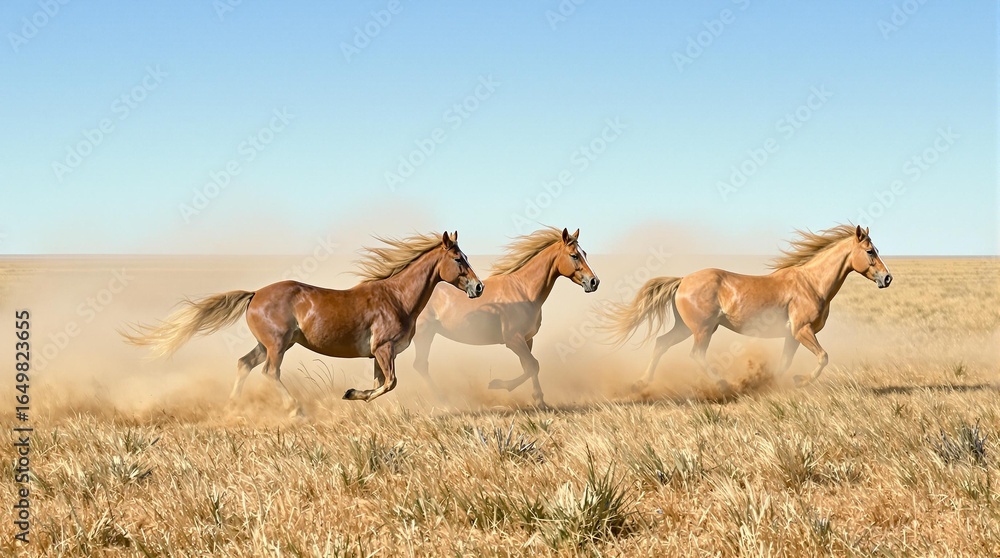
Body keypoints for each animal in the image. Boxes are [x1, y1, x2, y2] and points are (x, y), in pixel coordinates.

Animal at [121, 232, 484, 415]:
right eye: (458, 259)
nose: (478, 287)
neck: (396, 297)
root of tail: (255, 294)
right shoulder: (383, 349)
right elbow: (390, 383)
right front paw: (352, 394)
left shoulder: (380, 354)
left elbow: (381, 383)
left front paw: (356, 396)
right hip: (278, 345)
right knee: (269, 372)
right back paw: (294, 407)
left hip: (265, 344)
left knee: (244, 364)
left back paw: (233, 406)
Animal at [412, 227, 599, 407]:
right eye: (574, 255)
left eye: (585, 253)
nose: (594, 282)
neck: (524, 291)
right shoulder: (513, 339)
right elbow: (533, 365)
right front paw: (497, 384)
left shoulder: (527, 339)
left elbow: (529, 367)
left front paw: (539, 400)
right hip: (424, 335)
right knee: (420, 365)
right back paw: (442, 400)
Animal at [602, 225, 892, 390]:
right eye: (870, 251)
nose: (887, 278)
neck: (811, 283)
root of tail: (682, 280)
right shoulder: (801, 330)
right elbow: (823, 357)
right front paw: (799, 381)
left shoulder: (792, 336)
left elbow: (785, 363)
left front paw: (767, 383)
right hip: (703, 330)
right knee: (696, 354)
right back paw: (723, 384)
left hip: (685, 328)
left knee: (661, 343)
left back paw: (640, 383)